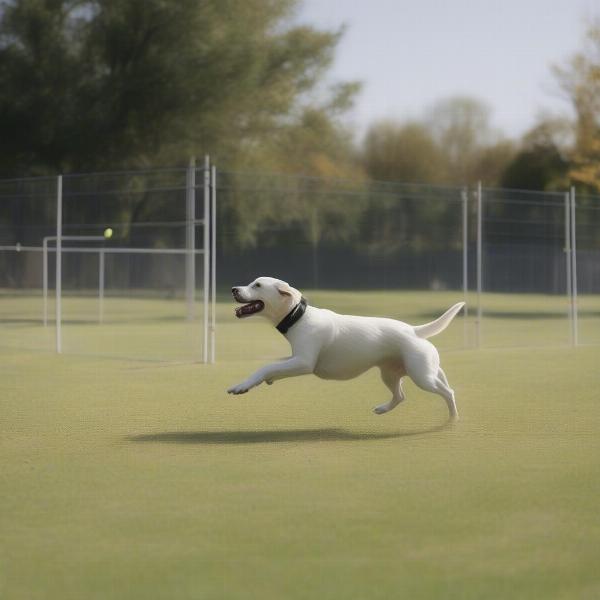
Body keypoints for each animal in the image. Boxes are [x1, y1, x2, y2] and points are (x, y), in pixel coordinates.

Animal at [225, 276, 464, 418]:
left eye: (257, 285)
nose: (233, 288)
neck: (298, 316)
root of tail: (415, 330)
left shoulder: (304, 363)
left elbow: (266, 366)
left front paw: (242, 385)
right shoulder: (295, 359)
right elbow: (275, 365)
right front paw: (266, 380)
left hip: (422, 377)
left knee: (448, 392)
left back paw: (451, 421)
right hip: (396, 374)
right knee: (403, 395)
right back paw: (383, 409)